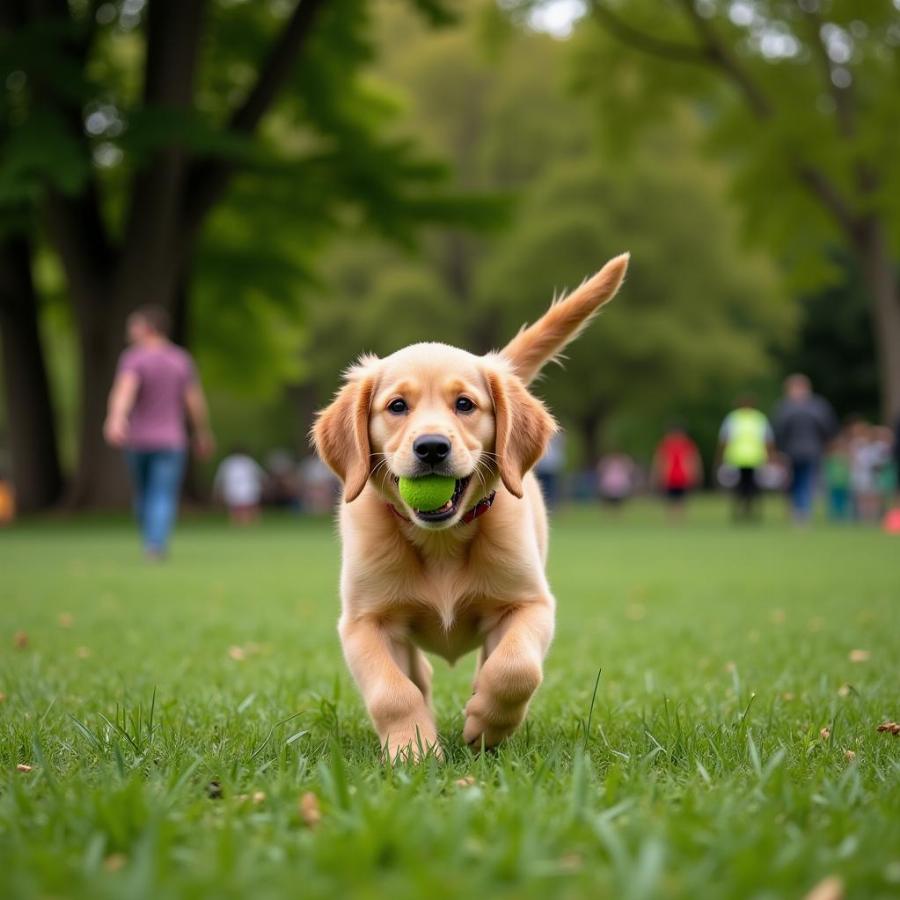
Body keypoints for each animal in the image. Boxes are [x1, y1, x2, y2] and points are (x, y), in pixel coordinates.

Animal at [312, 253, 628, 760]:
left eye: (465, 404)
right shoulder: (363, 621)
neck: (440, 540)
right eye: (396, 406)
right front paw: (413, 750)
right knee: (416, 675)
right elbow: (391, 692)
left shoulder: (531, 603)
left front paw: (484, 724)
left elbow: (516, 669)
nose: (432, 447)